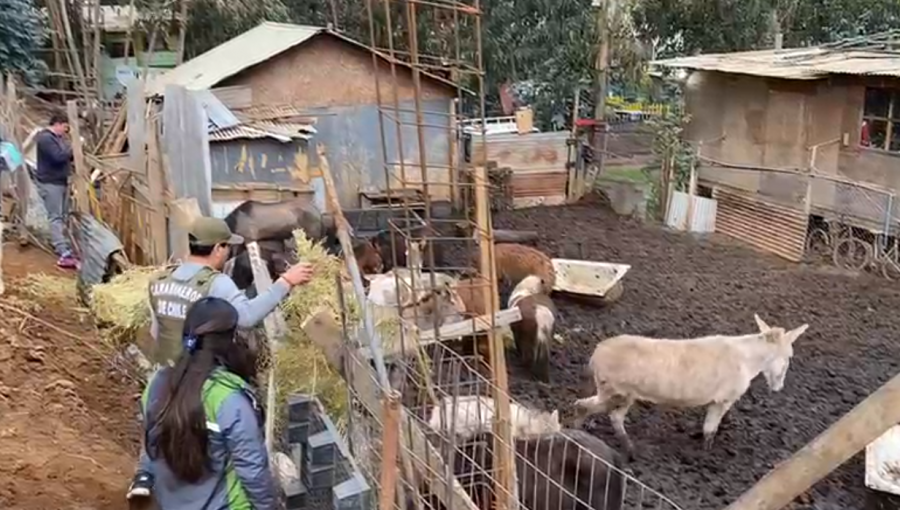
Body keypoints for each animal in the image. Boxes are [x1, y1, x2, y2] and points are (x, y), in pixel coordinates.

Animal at [572, 312, 812, 456]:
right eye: (790, 356)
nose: (778, 387)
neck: (748, 360)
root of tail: (596, 353)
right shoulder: (724, 399)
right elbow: (710, 428)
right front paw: (706, 453)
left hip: (622, 394)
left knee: (594, 409)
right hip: (616, 392)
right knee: (595, 409)